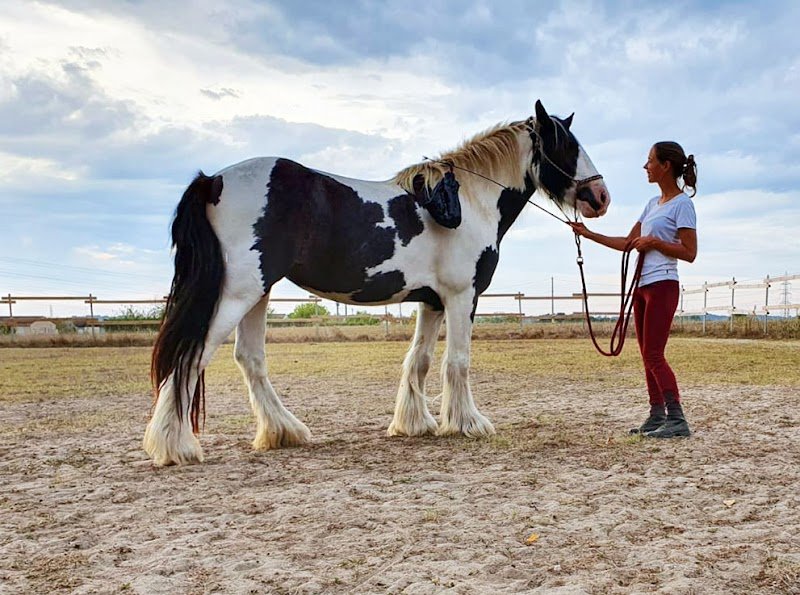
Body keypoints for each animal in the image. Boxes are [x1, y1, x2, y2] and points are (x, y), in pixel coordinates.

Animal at [144, 100, 610, 466]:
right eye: (568, 146)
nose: (600, 197)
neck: (469, 201)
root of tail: (213, 180)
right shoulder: (462, 297)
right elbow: (457, 361)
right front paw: (468, 422)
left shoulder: (432, 301)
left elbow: (419, 360)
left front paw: (414, 423)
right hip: (238, 293)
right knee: (191, 356)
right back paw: (176, 446)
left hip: (257, 293)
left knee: (250, 359)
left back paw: (284, 431)